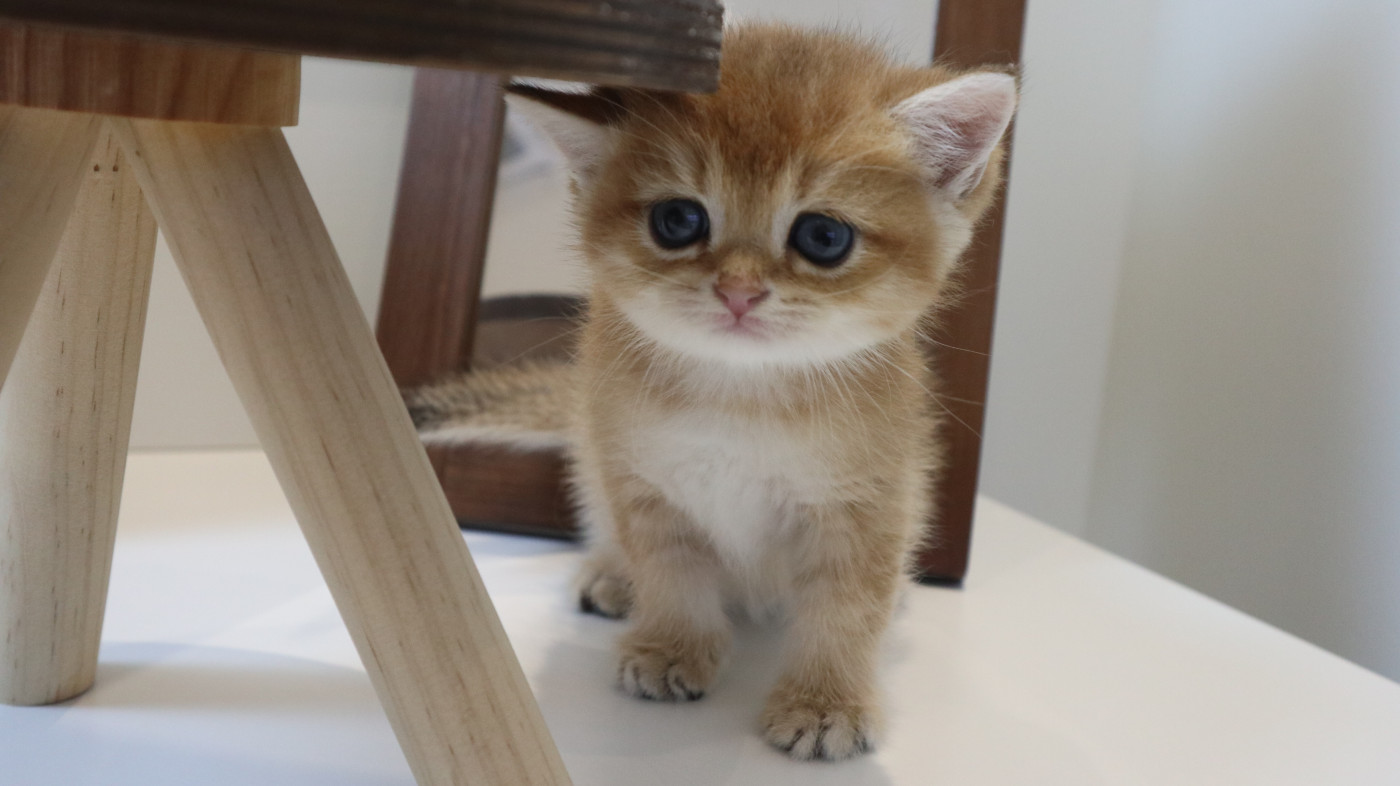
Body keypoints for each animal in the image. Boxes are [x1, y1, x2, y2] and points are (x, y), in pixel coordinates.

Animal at [417, 23, 1016, 761]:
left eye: (824, 236)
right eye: (679, 221)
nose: (738, 291)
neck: (742, 397)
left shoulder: (872, 501)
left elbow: (848, 607)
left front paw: (825, 701)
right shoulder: (642, 482)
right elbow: (672, 574)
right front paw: (673, 648)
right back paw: (612, 574)